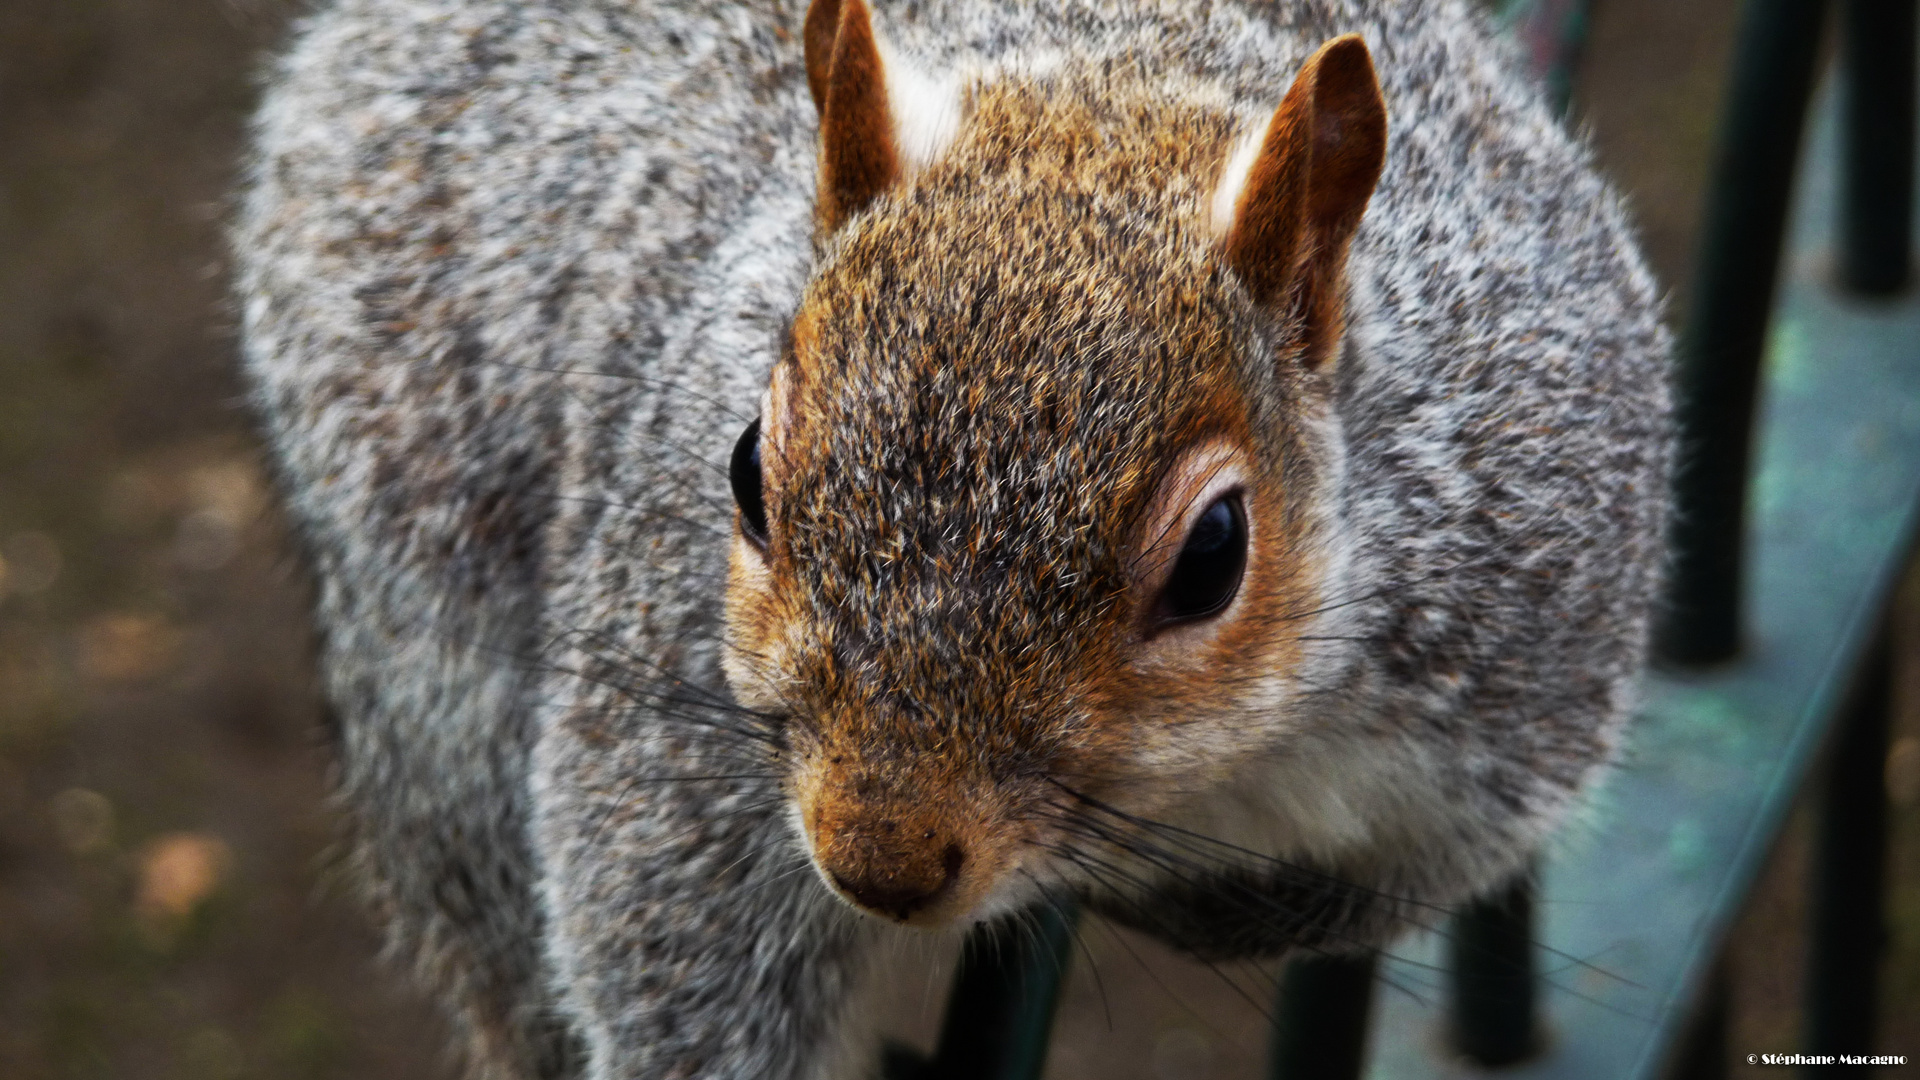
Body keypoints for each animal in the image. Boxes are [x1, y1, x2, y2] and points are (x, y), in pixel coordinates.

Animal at [240, 0, 1674, 1068]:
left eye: (1215, 553)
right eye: (746, 471)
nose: (879, 858)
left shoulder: (1518, 647)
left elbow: (1383, 886)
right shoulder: (682, 723)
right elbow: (667, 945)